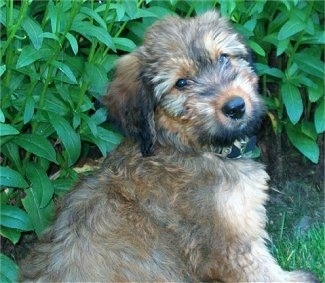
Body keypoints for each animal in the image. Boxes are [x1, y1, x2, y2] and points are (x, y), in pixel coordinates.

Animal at [19, 10, 318, 282]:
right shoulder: (228, 245)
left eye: (223, 57)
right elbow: (261, 269)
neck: (189, 146)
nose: (235, 106)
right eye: (181, 83)